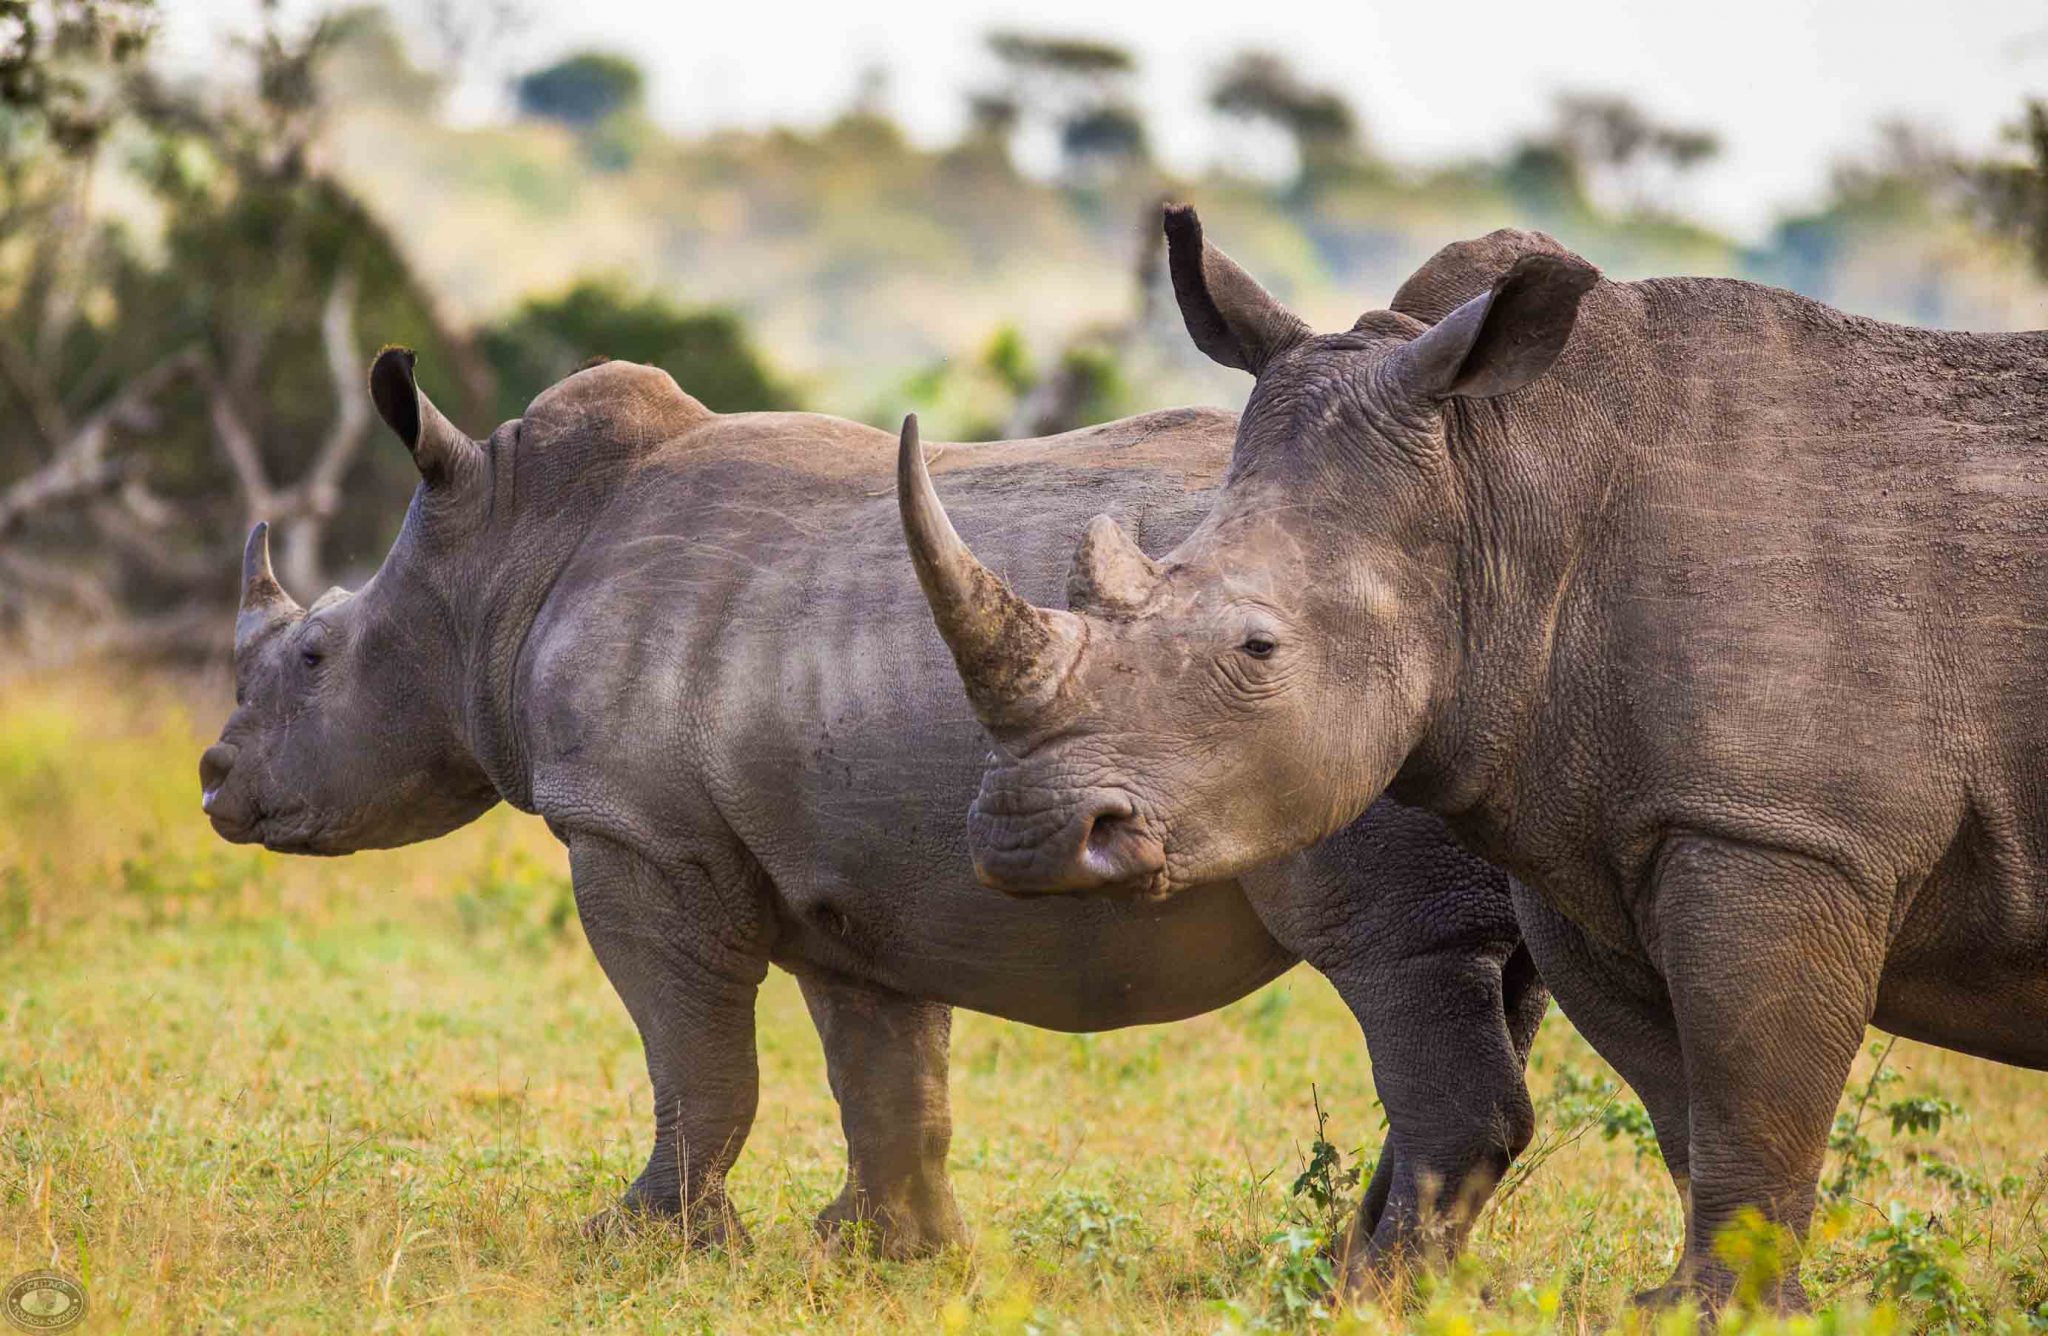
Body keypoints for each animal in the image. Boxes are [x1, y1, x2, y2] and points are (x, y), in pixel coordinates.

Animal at [211, 352, 1548, 1270]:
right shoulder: (847, 873)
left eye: (318, 656)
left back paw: (1362, 1288)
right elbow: (886, 1071)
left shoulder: (633, 832)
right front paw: (882, 1251)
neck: (500, 554)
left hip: (1344, 694)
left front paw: (635, 1244)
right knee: (1500, 973)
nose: (217, 779)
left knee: (1399, 957)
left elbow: (695, 1055)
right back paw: (1351, 1271)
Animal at [905, 203, 2048, 1311]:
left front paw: (1739, 1310)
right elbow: (1686, 1098)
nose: (1025, 836)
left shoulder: (1783, 833)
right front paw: (1672, 1304)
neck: (1505, 483)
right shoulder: (1590, 827)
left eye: (1257, 649)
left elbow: (1750, 1091)